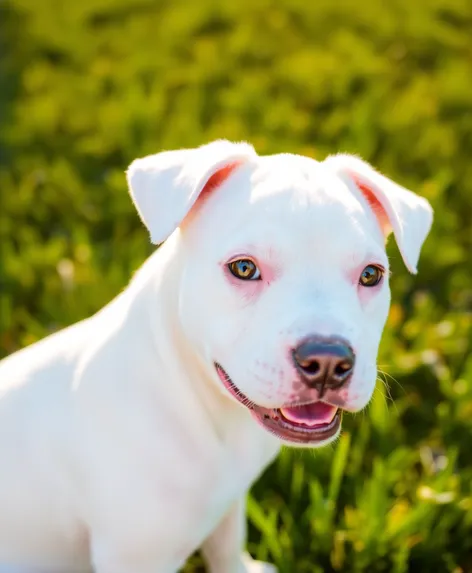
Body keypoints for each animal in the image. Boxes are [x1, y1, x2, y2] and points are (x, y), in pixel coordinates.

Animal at [0, 140, 432, 572]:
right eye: (243, 268)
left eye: (371, 275)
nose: (327, 361)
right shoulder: (137, 554)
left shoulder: (230, 502)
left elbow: (227, 546)